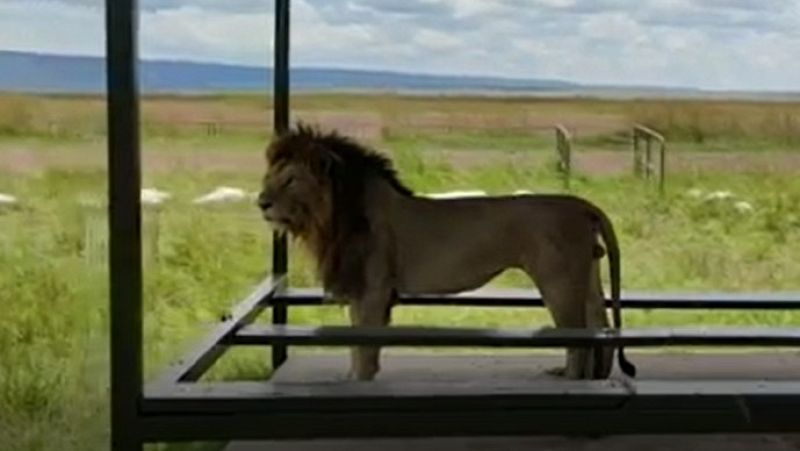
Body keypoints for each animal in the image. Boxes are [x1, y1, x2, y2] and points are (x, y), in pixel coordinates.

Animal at [257, 123, 636, 381]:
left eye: (290, 180)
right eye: (269, 177)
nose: (260, 202)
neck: (333, 217)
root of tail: (583, 205)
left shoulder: (374, 290)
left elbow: (365, 348)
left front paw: (360, 382)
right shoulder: (359, 291)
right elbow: (355, 346)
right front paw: (352, 378)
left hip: (557, 280)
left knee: (579, 338)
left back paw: (573, 380)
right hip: (586, 275)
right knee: (599, 322)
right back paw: (592, 378)